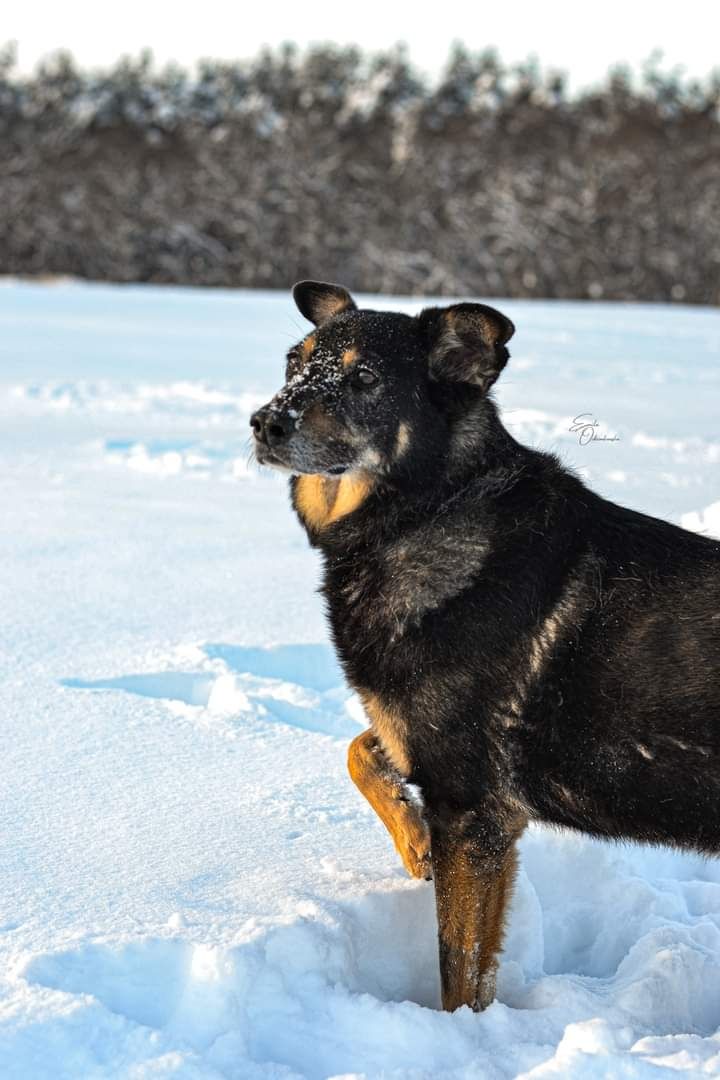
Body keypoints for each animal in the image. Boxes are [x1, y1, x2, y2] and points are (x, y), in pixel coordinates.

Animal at [252, 278, 720, 1010]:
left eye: (364, 378)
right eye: (292, 364)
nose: (265, 422)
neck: (425, 512)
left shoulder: (473, 812)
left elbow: (459, 970)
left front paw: (458, 1031)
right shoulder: (473, 798)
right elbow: (361, 748)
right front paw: (412, 840)